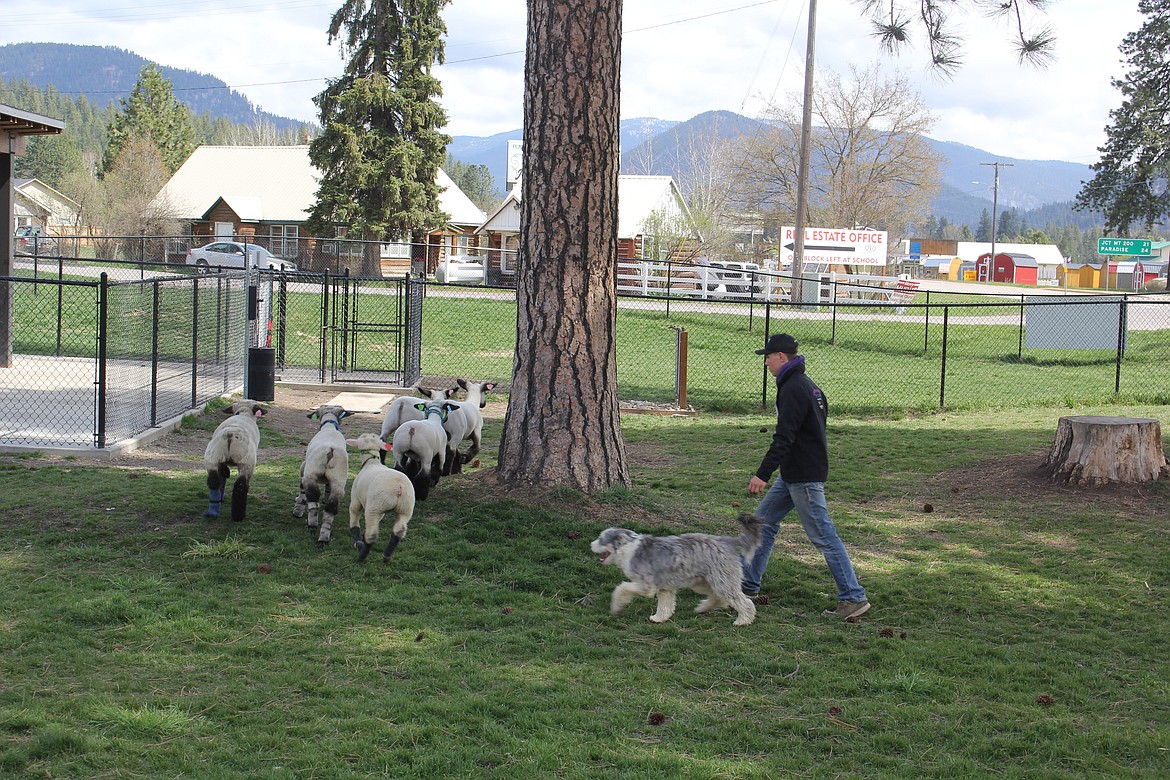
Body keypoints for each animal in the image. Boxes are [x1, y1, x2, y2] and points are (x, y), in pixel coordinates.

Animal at [292, 406, 351, 547]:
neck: (329, 427)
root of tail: (331, 450)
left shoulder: (304, 469)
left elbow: (302, 491)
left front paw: (297, 510)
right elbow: (327, 491)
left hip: (311, 473)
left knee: (312, 497)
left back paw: (312, 526)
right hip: (338, 481)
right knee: (332, 507)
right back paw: (324, 537)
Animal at [341, 432, 416, 561]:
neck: (371, 463)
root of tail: (399, 486)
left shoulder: (355, 499)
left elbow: (354, 520)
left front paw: (358, 542)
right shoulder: (382, 512)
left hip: (374, 508)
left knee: (372, 534)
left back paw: (361, 556)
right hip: (405, 508)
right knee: (398, 531)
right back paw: (387, 556)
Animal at [589, 512, 762, 626]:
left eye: (600, 538)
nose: (590, 545)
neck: (628, 548)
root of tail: (729, 542)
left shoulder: (647, 586)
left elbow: (622, 588)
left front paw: (617, 607)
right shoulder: (665, 587)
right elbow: (665, 605)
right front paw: (659, 618)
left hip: (722, 581)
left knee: (743, 602)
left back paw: (743, 620)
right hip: (703, 582)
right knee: (719, 598)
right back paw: (703, 607)